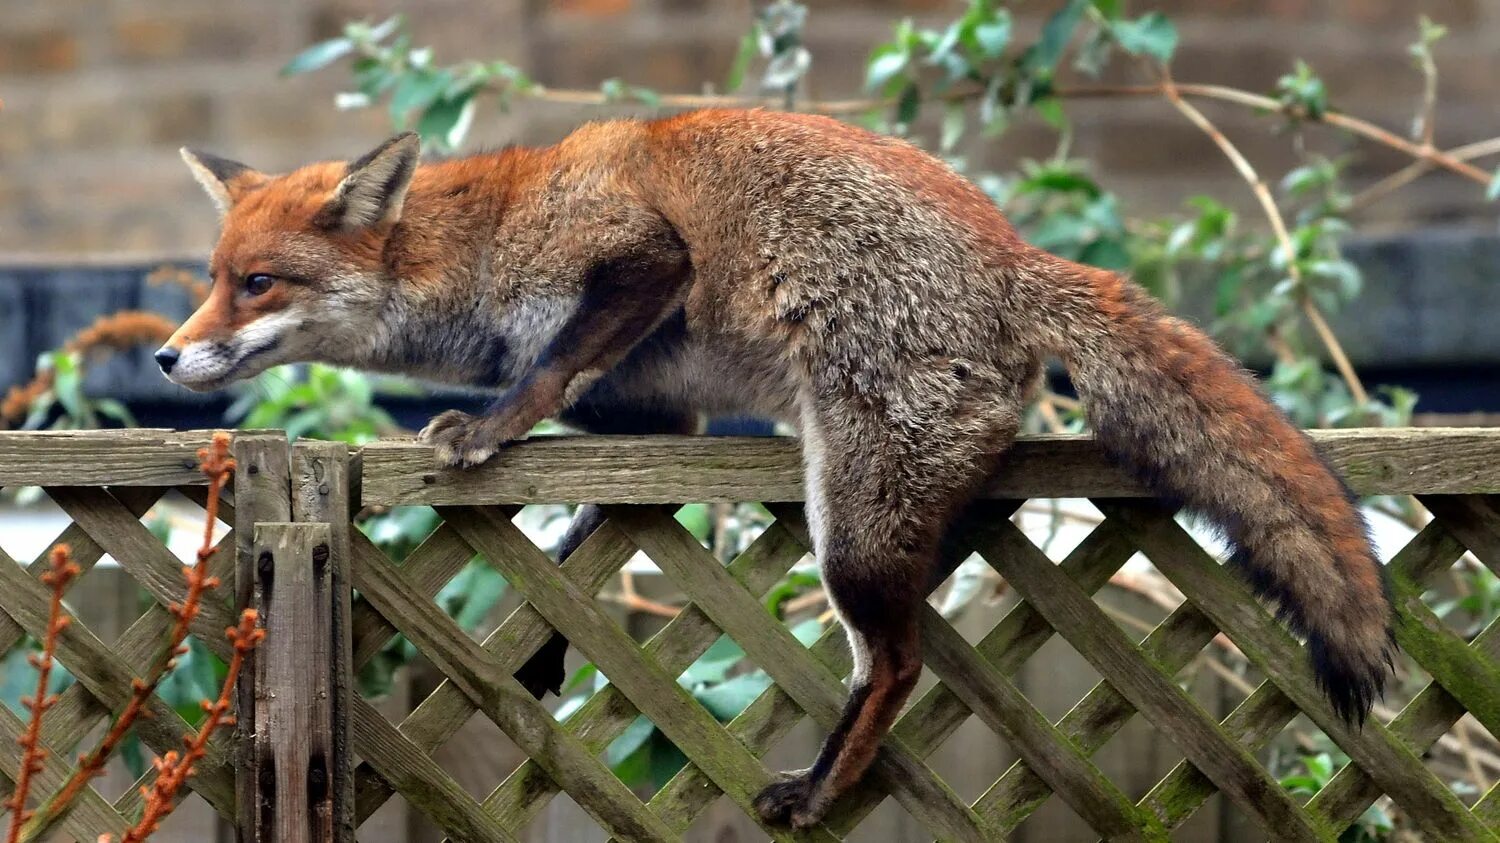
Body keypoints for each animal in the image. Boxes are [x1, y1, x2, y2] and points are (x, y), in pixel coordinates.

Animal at [164, 110, 1392, 828]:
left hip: (848, 521)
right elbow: (584, 523)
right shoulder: (660, 416)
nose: (171, 356)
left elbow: (544, 380)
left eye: (257, 284)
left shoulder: (642, 257)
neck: (484, 246)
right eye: (214, 277)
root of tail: (1016, 256)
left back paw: (818, 789)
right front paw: (548, 634)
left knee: (897, 662)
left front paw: (482, 428)